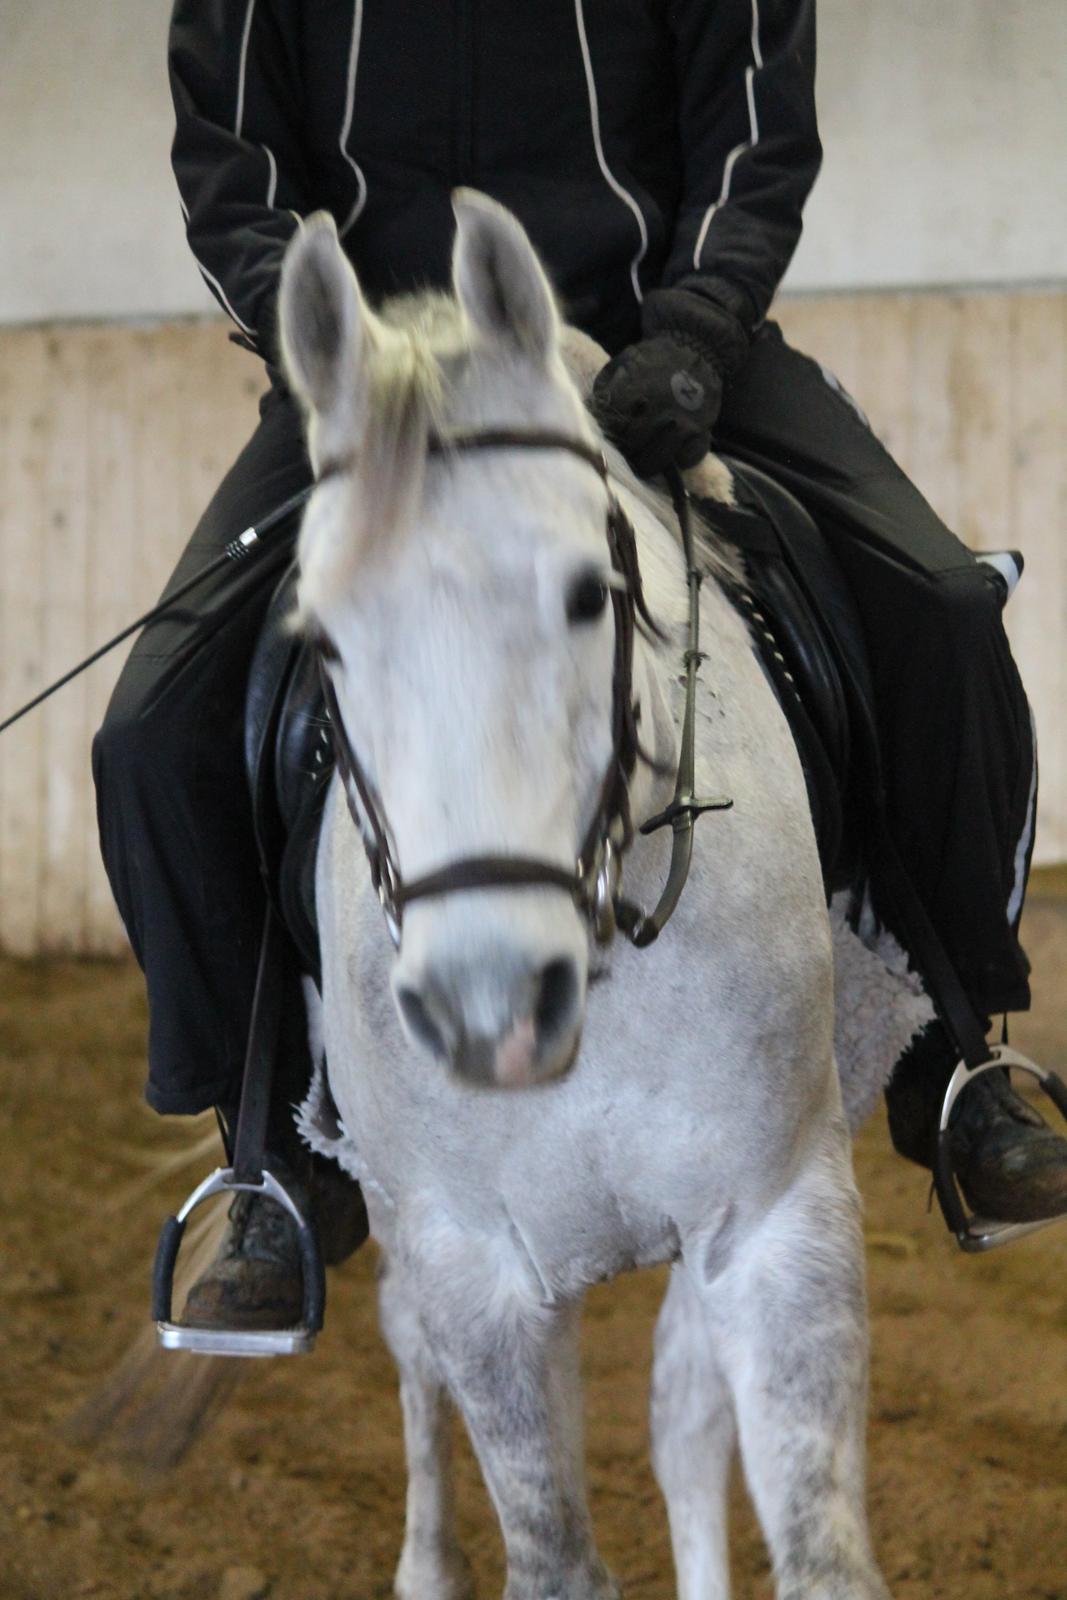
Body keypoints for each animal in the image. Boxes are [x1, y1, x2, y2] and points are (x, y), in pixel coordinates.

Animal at [279, 190, 895, 1600]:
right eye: (322, 636)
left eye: (585, 592)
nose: (491, 1011)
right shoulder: (473, 1270)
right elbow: (551, 1548)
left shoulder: (770, 1219)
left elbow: (808, 1537)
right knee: (406, 1353)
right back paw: (422, 1564)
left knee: (680, 1416)